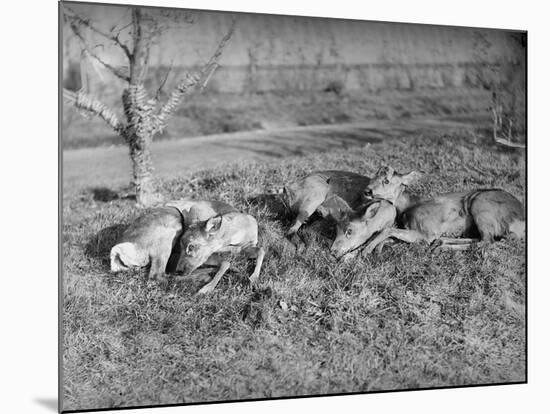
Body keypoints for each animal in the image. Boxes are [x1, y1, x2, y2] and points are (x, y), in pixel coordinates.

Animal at [336, 165, 532, 256]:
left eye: (387, 180)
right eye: (373, 176)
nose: (367, 191)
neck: (408, 207)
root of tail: (521, 219)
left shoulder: (425, 231)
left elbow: (387, 230)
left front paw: (367, 250)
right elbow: (390, 234)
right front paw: (376, 248)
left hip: (481, 205)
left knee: (487, 241)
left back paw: (441, 246)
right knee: (484, 239)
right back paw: (442, 242)